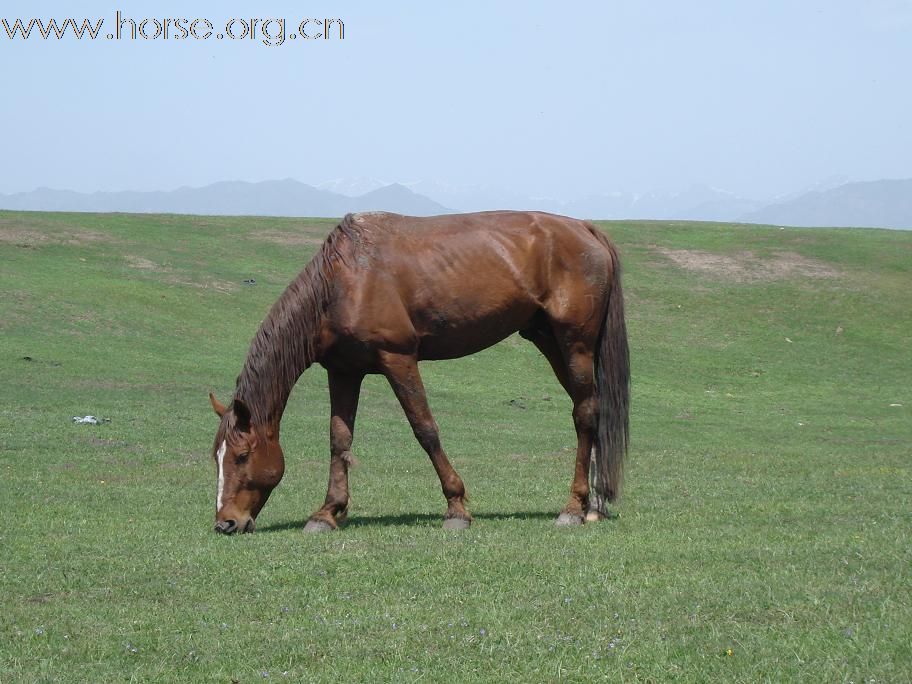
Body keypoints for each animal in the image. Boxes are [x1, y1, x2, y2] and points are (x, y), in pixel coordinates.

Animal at [207, 210, 628, 536]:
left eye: (242, 456)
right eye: (216, 457)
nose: (226, 523)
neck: (344, 280)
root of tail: (585, 228)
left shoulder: (398, 359)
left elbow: (425, 429)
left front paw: (456, 509)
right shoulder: (343, 371)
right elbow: (339, 440)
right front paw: (327, 512)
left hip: (574, 344)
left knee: (584, 415)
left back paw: (573, 508)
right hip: (549, 340)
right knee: (589, 410)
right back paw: (593, 504)